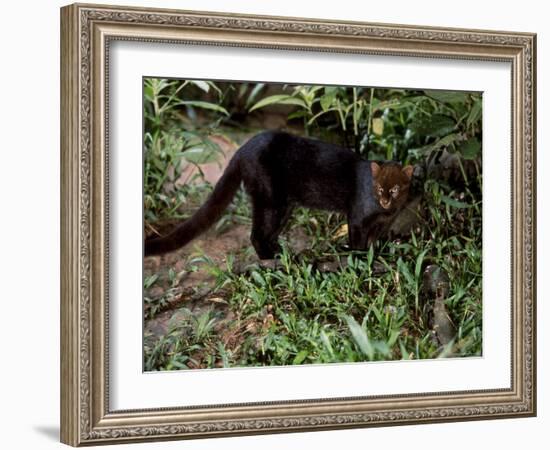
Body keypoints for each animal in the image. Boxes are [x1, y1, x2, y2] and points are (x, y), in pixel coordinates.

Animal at [146, 130, 414, 258]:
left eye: (395, 189)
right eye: (379, 188)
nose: (385, 199)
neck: (385, 212)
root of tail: (242, 149)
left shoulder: (381, 224)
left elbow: (373, 241)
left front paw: (375, 256)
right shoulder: (357, 218)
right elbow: (358, 241)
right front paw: (359, 259)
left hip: (284, 206)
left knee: (267, 233)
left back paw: (282, 254)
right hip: (270, 200)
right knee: (256, 234)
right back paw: (270, 259)